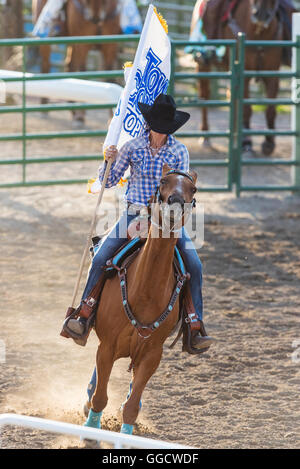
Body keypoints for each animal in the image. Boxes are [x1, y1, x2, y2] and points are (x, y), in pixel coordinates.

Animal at [84, 165, 197, 436]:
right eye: (163, 181)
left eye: (193, 189)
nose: (175, 204)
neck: (146, 292)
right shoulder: (107, 346)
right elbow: (100, 397)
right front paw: (91, 429)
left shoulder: (152, 355)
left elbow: (132, 406)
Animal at [191, 0, 294, 157]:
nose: (261, 14)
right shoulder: (244, 76)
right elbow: (246, 109)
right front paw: (247, 144)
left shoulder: (272, 75)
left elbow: (270, 109)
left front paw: (269, 143)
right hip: (202, 65)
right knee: (204, 96)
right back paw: (205, 137)